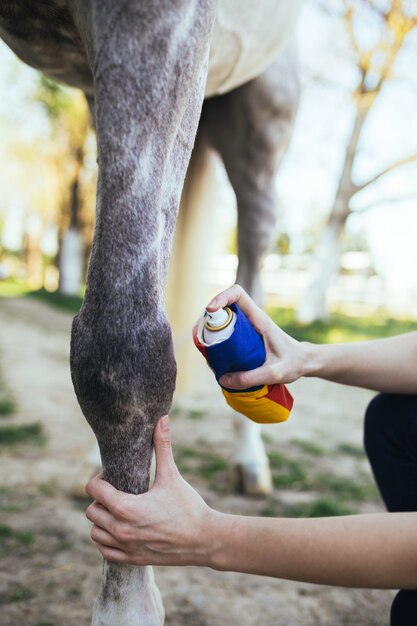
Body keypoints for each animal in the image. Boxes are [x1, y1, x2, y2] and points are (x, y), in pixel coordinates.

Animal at [0, 0, 300, 620]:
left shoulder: (160, 27)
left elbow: (121, 355)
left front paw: (127, 603)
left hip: (261, 119)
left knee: (254, 249)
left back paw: (251, 459)